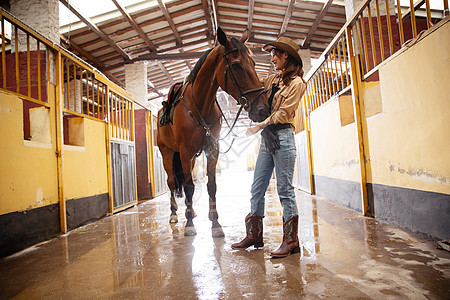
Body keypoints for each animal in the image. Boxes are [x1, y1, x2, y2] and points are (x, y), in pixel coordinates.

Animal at [156, 28, 268, 237]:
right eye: (236, 65)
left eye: (254, 63)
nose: (263, 109)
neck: (199, 104)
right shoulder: (185, 151)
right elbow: (189, 186)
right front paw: (189, 225)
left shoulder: (212, 148)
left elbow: (211, 185)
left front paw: (215, 222)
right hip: (168, 153)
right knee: (172, 182)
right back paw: (175, 214)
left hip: (190, 158)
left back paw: (191, 211)